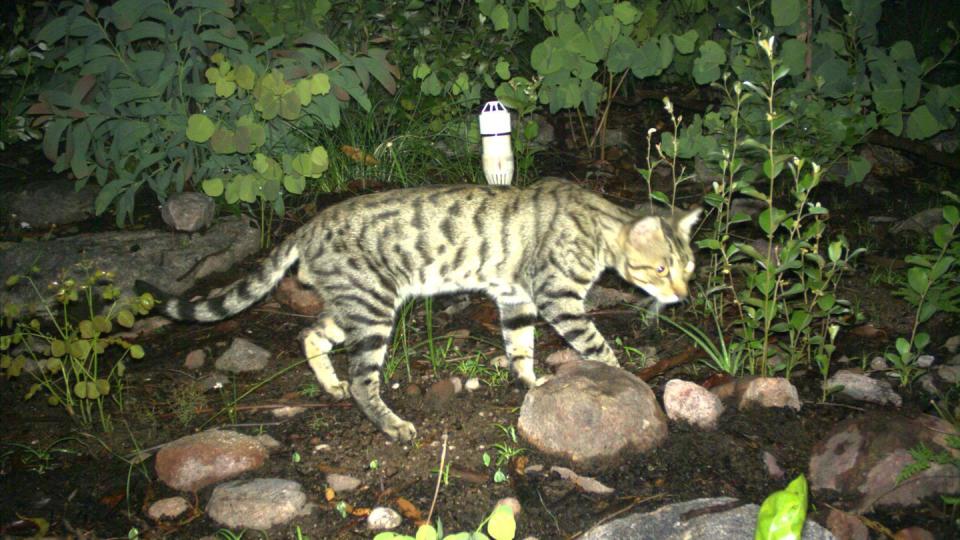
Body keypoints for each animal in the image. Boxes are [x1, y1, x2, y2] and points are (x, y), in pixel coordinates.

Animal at [137, 179, 696, 440]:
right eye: (661, 268)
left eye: (689, 267)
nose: (684, 295)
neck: (598, 227)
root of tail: (309, 225)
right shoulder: (556, 297)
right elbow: (599, 347)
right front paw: (628, 379)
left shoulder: (516, 299)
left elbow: (520, 348)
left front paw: (533, 383)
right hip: (374, 310)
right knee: (362, 381)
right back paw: (390, 423)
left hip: (354, 304)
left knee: (311, 335)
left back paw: (329, 385)